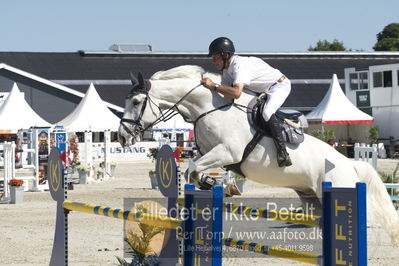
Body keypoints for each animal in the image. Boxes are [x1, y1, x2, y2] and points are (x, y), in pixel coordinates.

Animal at [119, 65, 399, 247]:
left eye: (136, 102)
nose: (122, 137)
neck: (209, 108)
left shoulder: (227, 151)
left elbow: (194, 169)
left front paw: (216, 184)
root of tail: (350, 164)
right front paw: (215, 184)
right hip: (312, 199)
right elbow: (195, 169)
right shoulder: (212, 153)